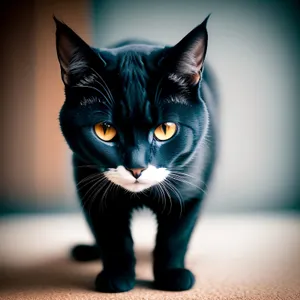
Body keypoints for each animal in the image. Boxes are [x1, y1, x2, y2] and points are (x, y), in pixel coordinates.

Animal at [54, 14, 218, 292]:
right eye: (104, 130)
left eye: (165, 129)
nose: (136, 167)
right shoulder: (91, 186)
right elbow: (112, 238)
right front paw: (117, 276)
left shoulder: (191, 189)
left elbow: (174, 237)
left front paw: (172, 275)